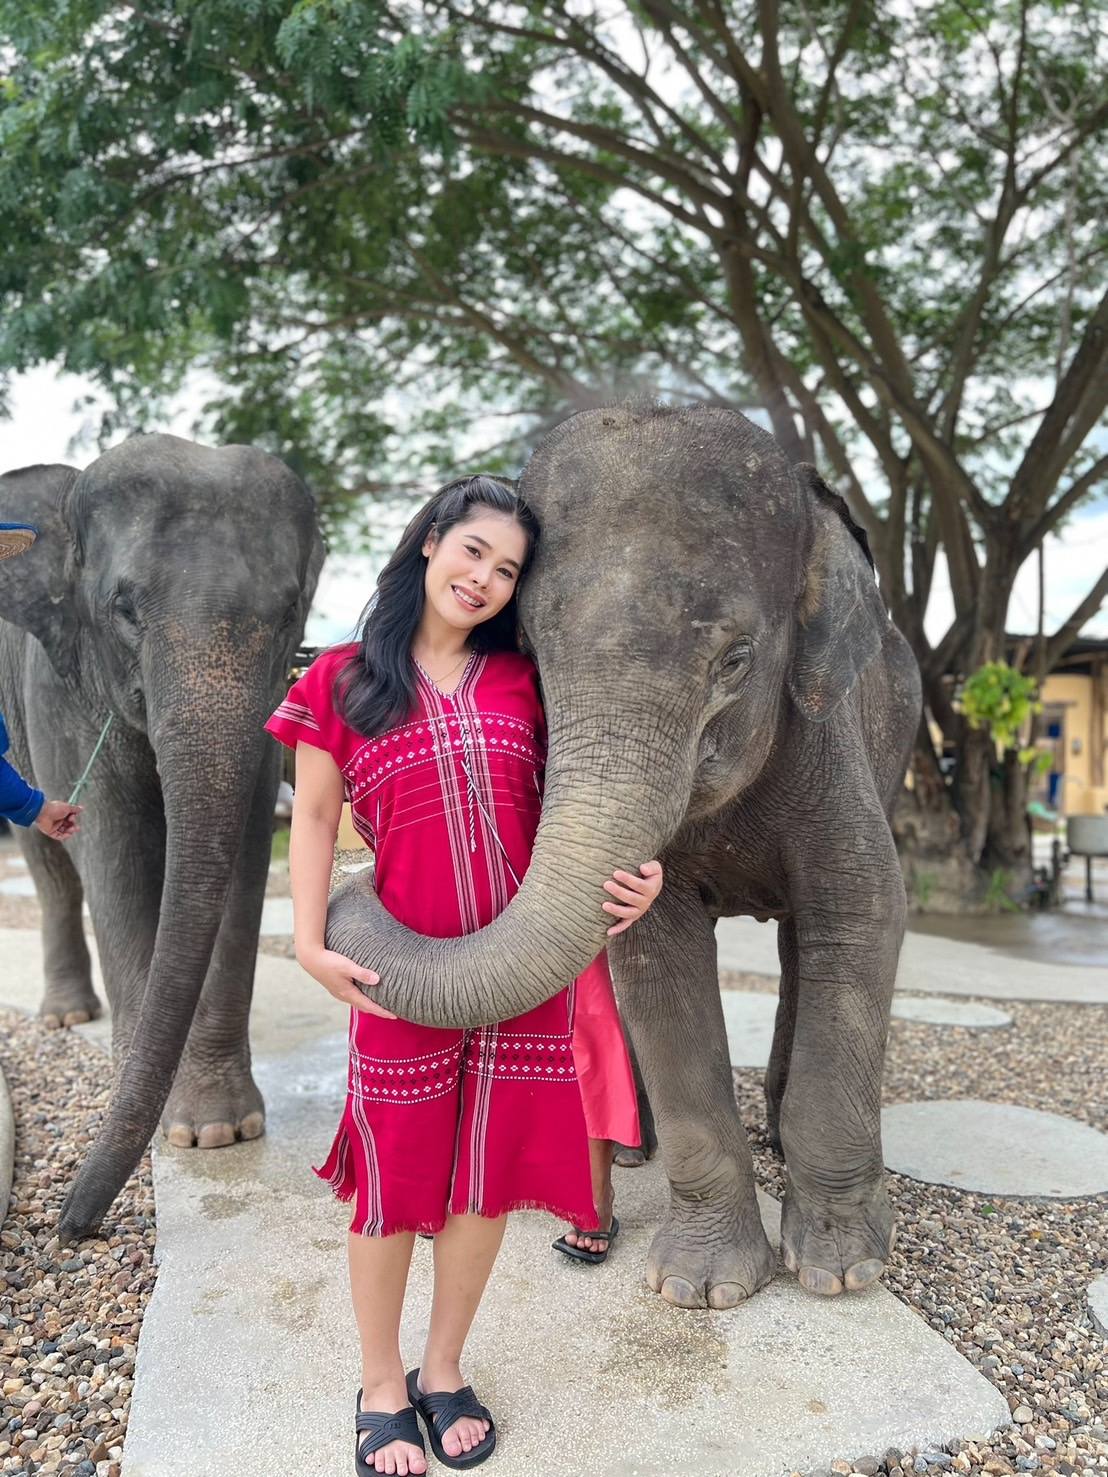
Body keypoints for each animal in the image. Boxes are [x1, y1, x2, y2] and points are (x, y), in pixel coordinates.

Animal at [0, 433, 323, 1243]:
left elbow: (242, 849)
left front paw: (214, 1130)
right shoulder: (58, 689)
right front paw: (162, 1119)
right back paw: (67, 1016)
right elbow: (114, 849)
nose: (68, 1226)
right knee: (50, 866)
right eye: (123, 607)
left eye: (289, 612)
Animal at [325, 403, 922, 1308]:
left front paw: (839, 1270)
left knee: (804, 938)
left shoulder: (832, 743)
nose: (349, 875)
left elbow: (864, 912)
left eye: (736, 661)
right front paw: (701, 1287)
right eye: (533, 656)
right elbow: (652, 950)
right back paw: (636, 1150)